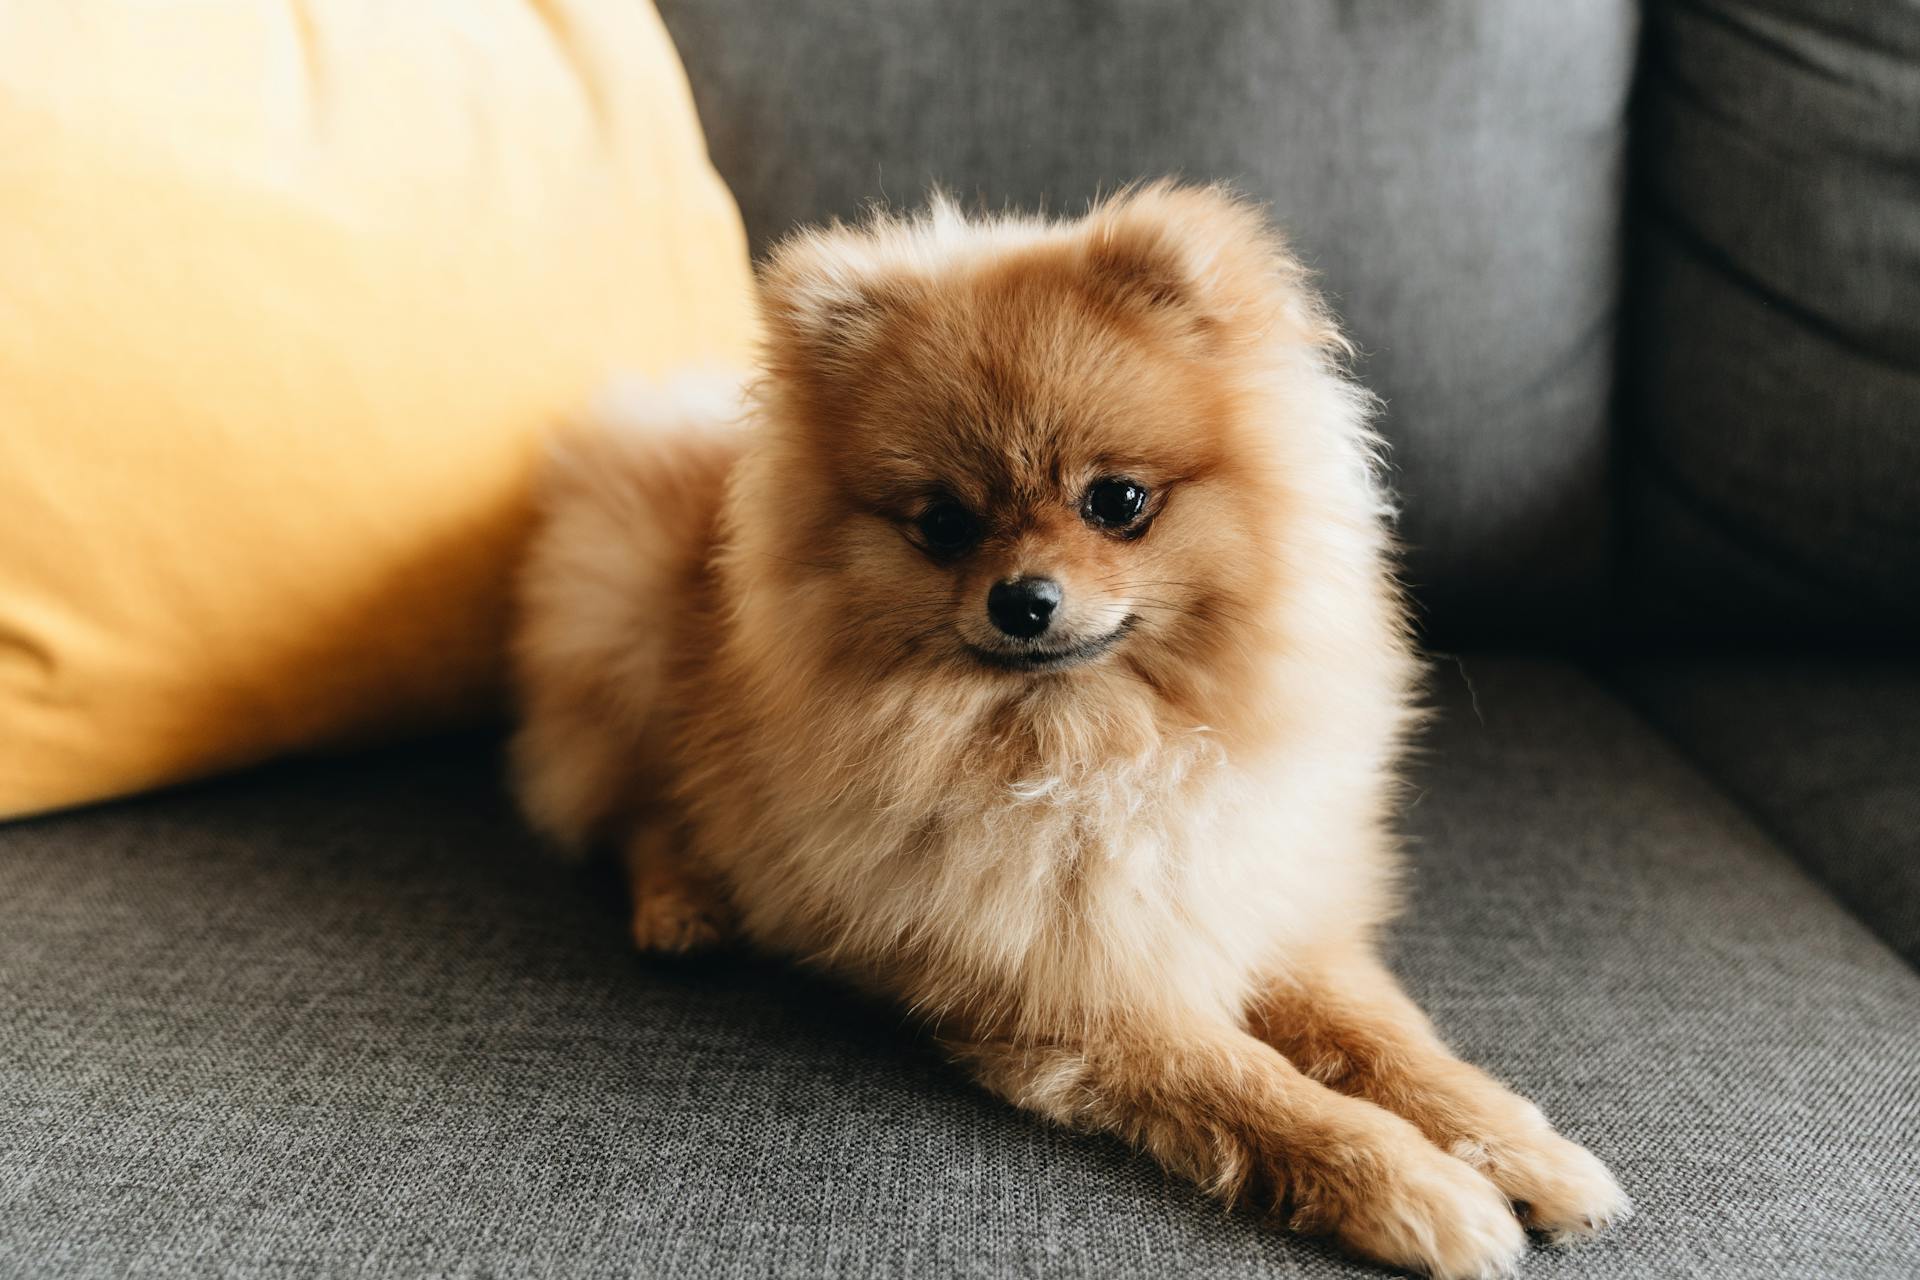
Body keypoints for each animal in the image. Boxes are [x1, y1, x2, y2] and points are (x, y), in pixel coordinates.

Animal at [510, 182, 1620, 1280]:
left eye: (1117, 501)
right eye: (945, 524)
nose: (1023, 598)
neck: (1099, 749)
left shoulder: (1255, 902)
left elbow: (1390, 1041)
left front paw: (1519, 1146)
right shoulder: (1075, 991)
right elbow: (1254, 1083)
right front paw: (1418, 1189)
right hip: (625, 642)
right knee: (631, 809)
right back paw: (684, 905)